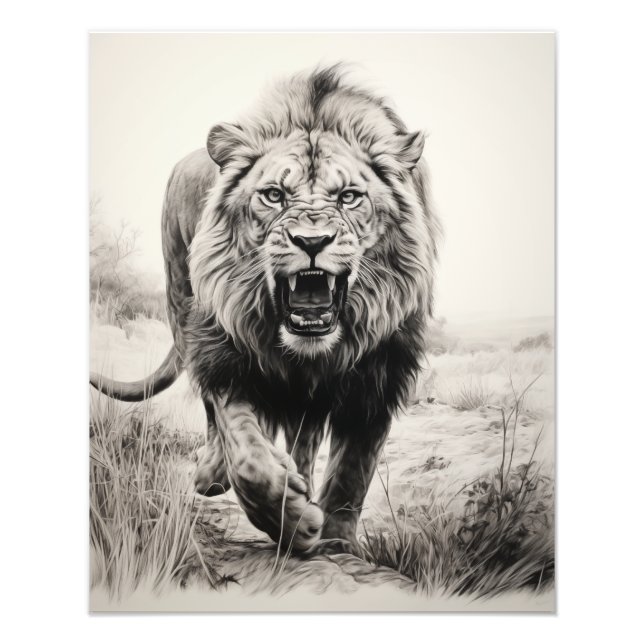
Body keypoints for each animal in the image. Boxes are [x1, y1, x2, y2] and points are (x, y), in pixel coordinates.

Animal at [90, 66, 440, 554]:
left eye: (349, 197)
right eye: (274, 195)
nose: (311, 242)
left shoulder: (380, 372)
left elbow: (352, 471)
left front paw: (335, 540)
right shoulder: (225, 350)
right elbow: (248, 460)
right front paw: (293, 523)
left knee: (305, 436)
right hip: (180, 296)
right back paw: (215, 475)